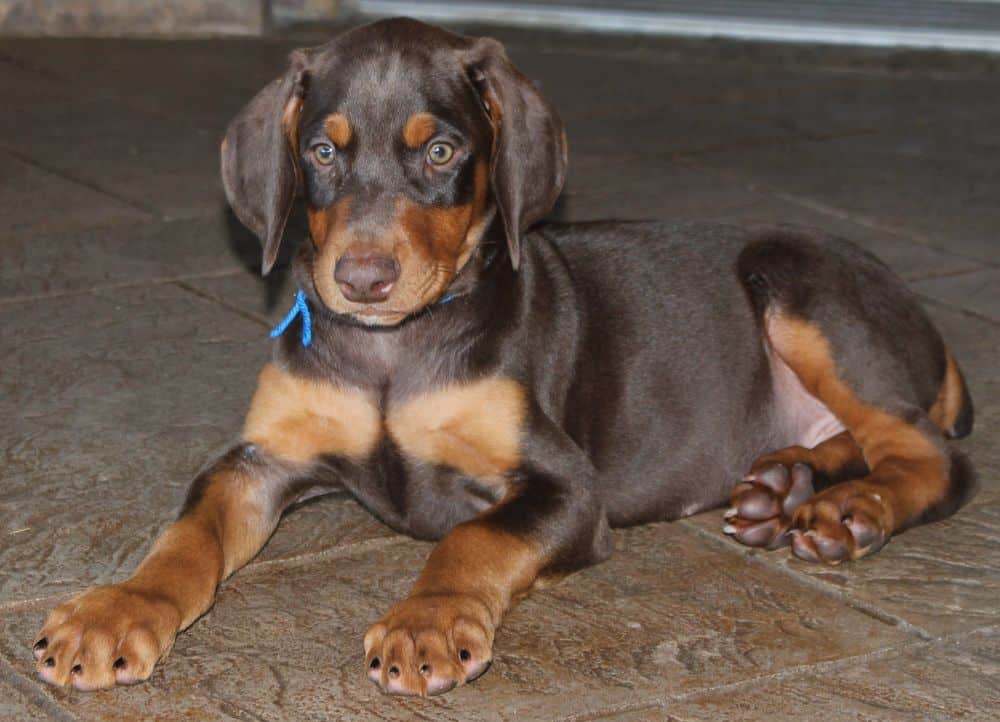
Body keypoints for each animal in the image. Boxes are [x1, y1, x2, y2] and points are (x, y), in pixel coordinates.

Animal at [33, 15, 976, 692]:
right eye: (321, 150)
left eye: (442, 150)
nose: (363, 279)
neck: (395, 350)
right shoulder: (260, 458)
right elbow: (186, 535)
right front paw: (115, 613)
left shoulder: (564, 485)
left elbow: (473, 539)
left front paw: (425, 622)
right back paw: (782, 484)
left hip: (797, 284)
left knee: (931, 454)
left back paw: (847, 511)